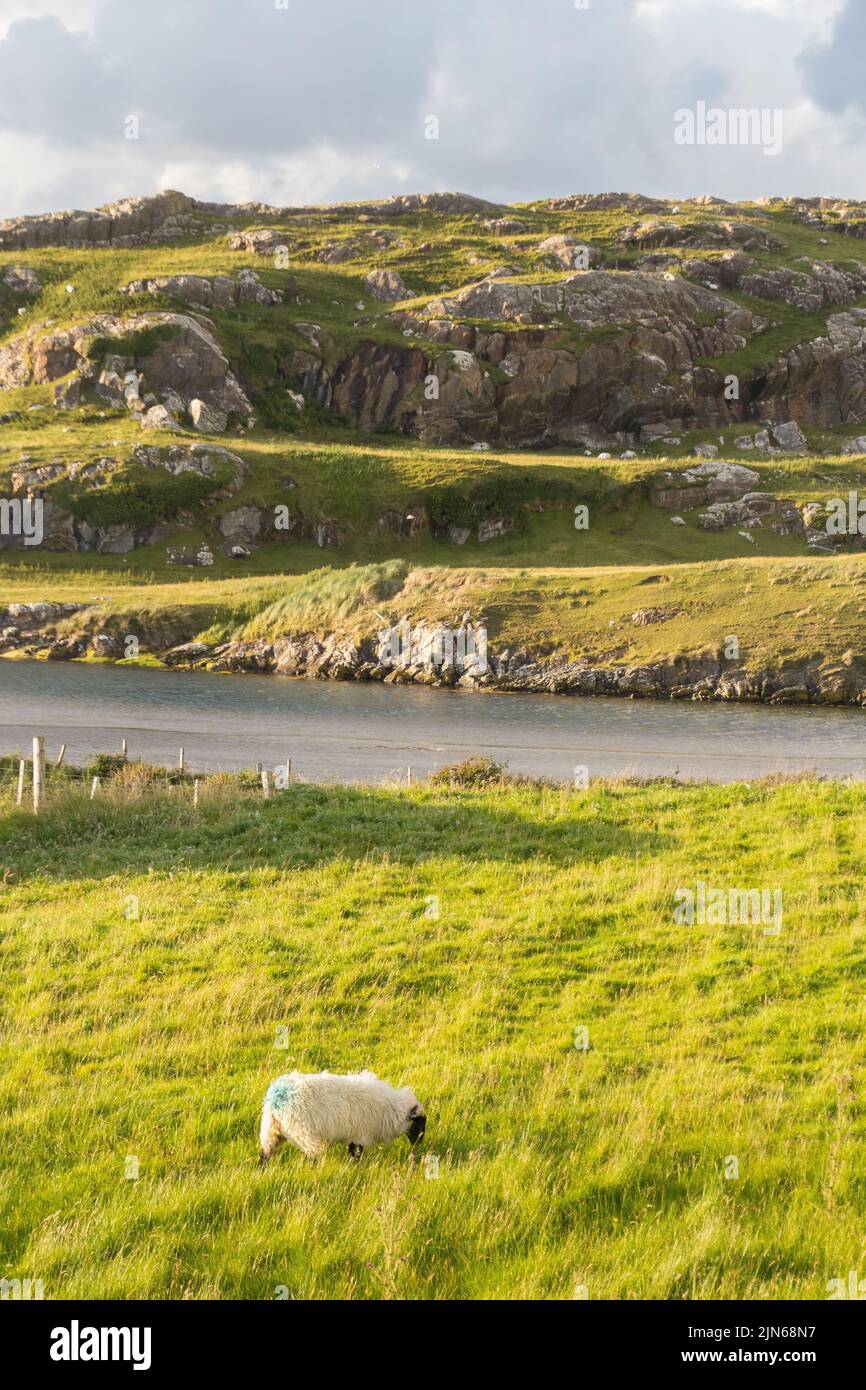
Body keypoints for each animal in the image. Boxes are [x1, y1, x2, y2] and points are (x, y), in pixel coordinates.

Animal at [259, 1070, 426, 1163]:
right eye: (420, 1123)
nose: (419, 1143)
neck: (391, 1110)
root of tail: (277, 1097)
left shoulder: (354, 1136)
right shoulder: (359, 1136)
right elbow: (355, 1156)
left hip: (270, 1131)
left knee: (264, 1155)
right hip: (305, 1135)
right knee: (312, 1158)